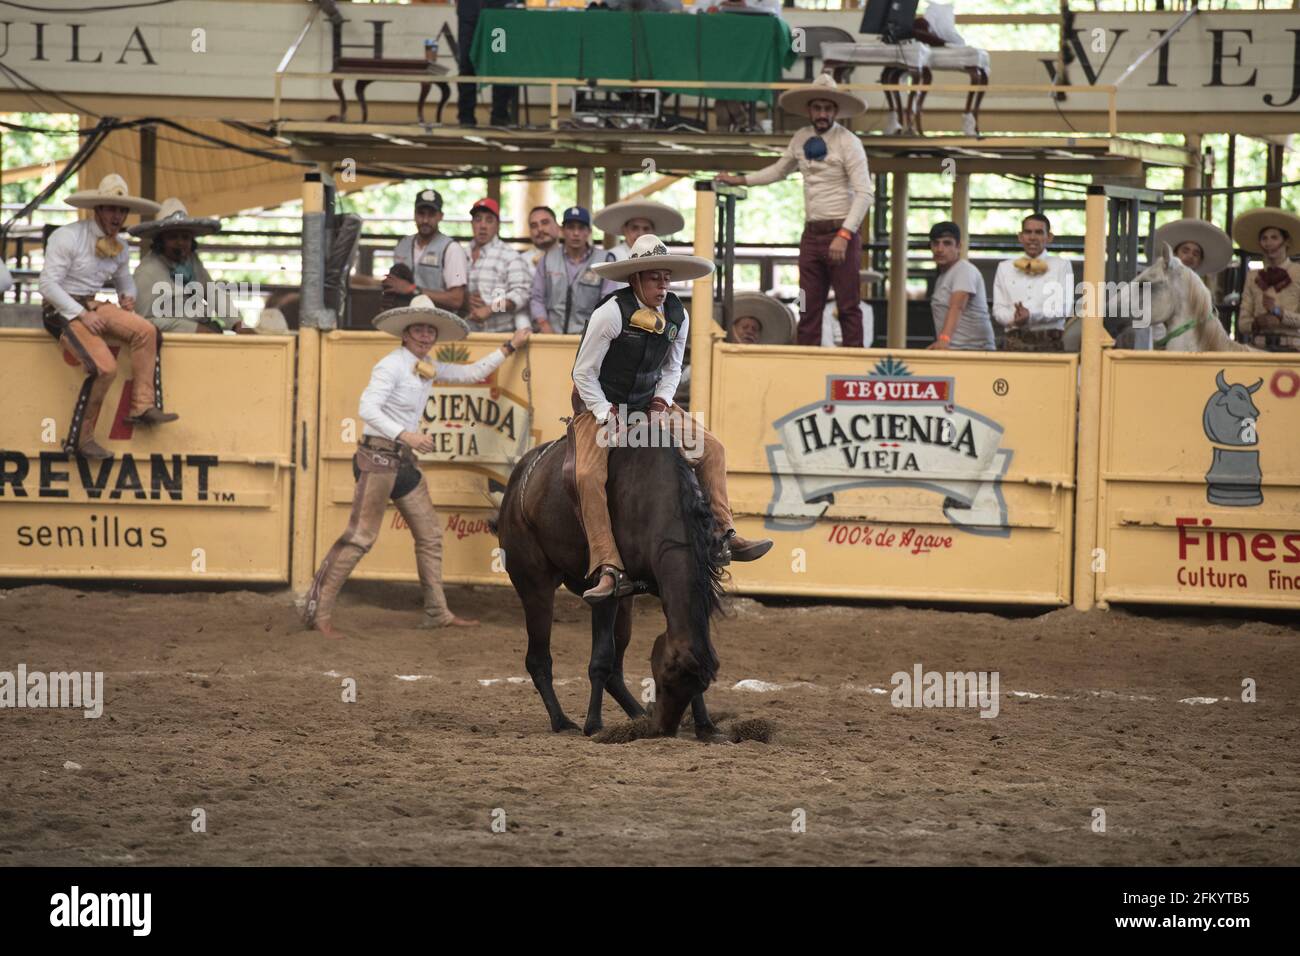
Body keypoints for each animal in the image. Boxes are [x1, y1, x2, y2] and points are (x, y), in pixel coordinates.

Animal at [491, 434, 728, 738]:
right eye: (665, 681)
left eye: (698, 684)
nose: (664, 729)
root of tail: (516, 483)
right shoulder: (605, 595)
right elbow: (601, 659)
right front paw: (594, 724)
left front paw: (707, 727)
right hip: (534, 584)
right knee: (539, 659)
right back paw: (562, 721)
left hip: (625, 603)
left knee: (615, 671)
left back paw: (639, 716)